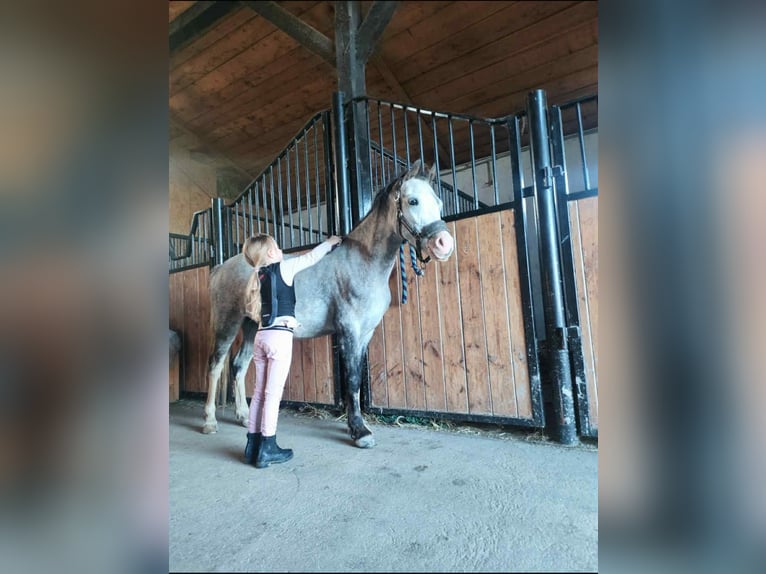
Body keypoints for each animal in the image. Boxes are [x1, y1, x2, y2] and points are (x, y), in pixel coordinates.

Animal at [202, 160, 455, 448]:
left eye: (438, 202)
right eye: (413, 200)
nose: (444, 244)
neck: (362, 262)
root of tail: (221, 267)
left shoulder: (365, 334)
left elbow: (356, 378)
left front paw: (356, 425)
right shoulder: (349, 330)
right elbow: (352, 378)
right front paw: (360, 431)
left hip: (251, 326)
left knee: (238, 366)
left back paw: (244, 416)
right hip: (228, 325)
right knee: (215, 366)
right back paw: (209, 422)